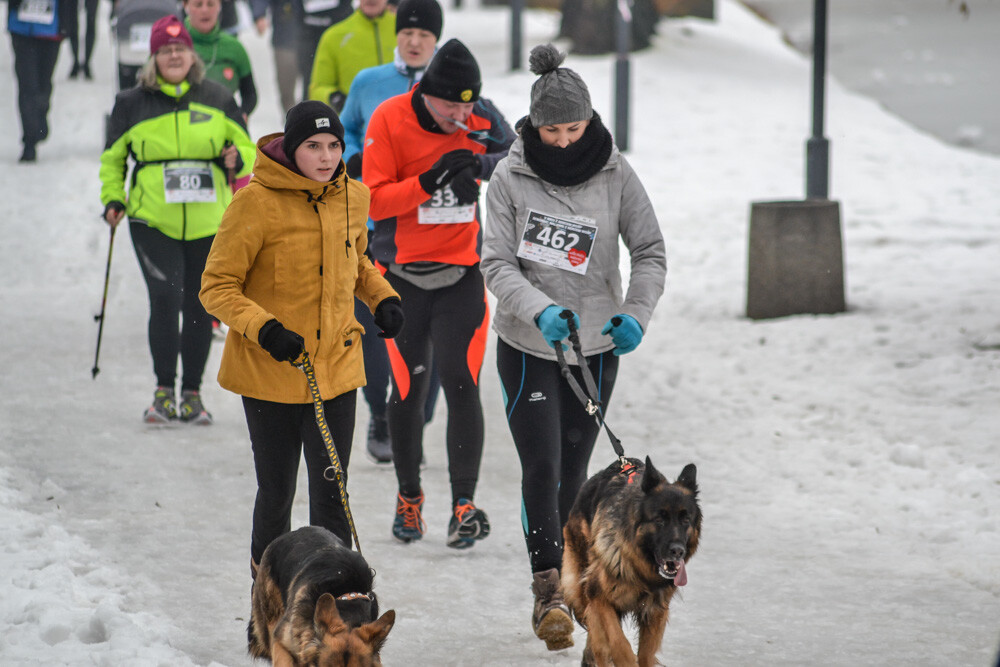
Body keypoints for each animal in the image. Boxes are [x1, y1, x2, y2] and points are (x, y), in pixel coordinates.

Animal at [564, 460, 704, 667]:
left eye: (685, 520)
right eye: (659, 519)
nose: (678, 551)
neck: (641, 570)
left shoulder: (655, 611)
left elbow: (646, 654)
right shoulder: (600, 597)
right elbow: (619, 643)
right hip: (581, 592)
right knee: (598, 643)